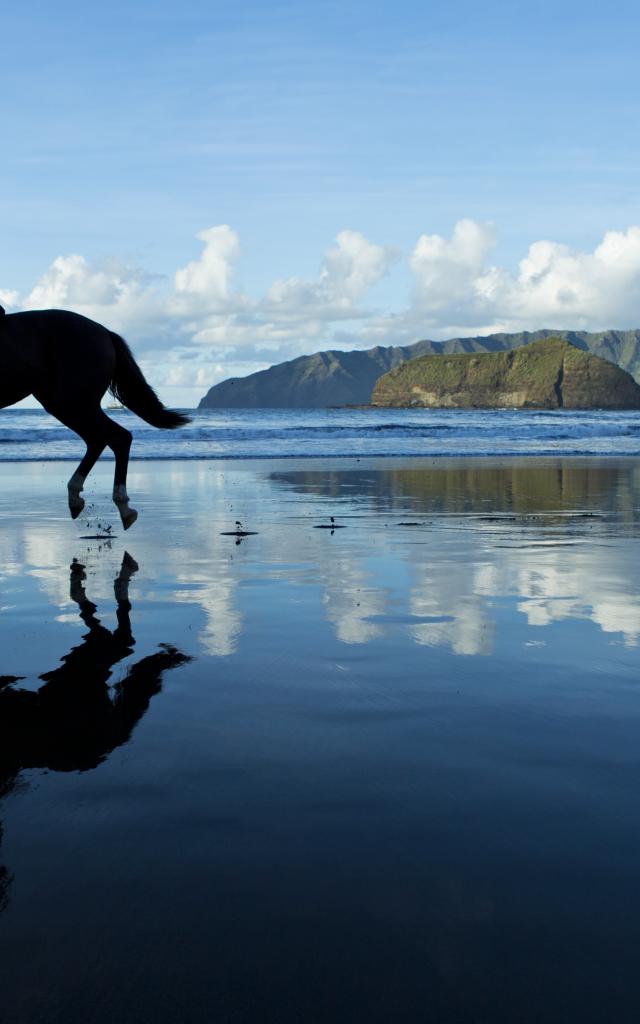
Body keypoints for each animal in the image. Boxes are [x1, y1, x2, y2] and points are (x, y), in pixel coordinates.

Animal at [0, 303, 188, 528]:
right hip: (67, 404)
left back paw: (122, 506)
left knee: (117, 437)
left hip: (72, 401)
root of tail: (104, 331)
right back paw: (77, 498)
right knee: (98, 439)